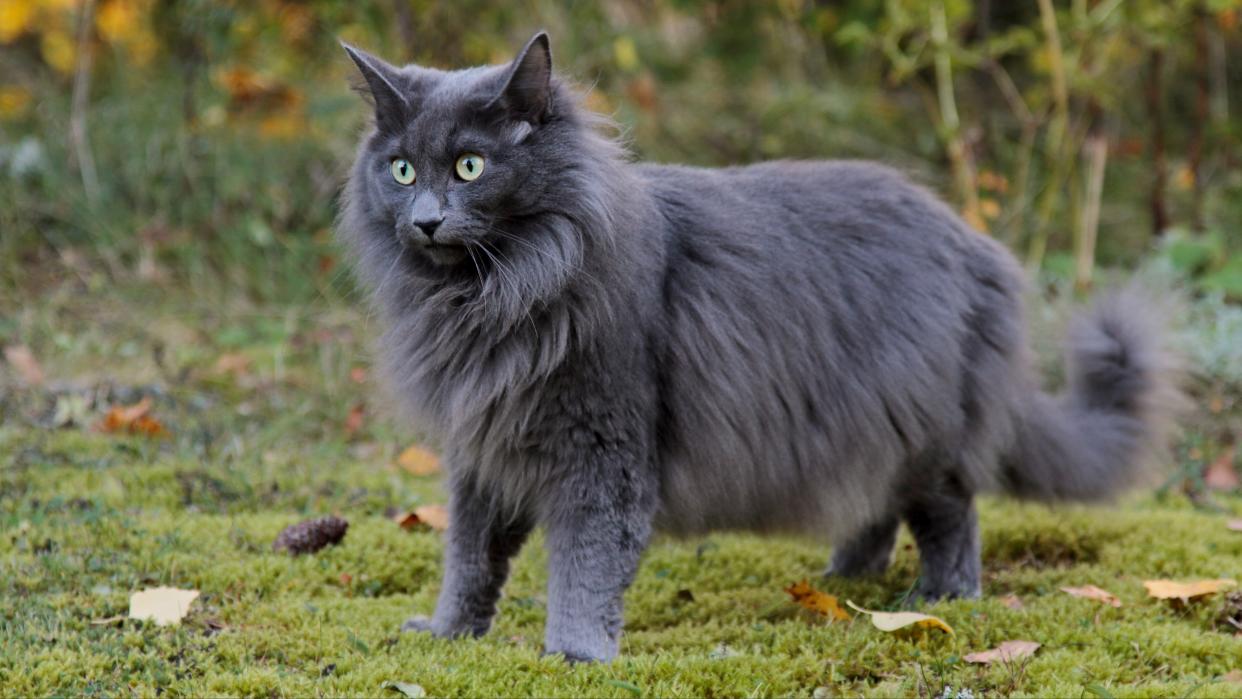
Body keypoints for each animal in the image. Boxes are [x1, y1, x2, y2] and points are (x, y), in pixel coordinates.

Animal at [335, 32, 1177, 665]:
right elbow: (471, 557)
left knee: (950, 513)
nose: (426, 219)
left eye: (470, 166)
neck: (491, 297)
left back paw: (935, 598)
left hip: (922, 423)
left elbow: (586, 561)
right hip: (861, 422)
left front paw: (573, 654)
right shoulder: (483, 449)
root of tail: (975, 246)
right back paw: (842, 579)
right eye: (401, 169)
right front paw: (448, 635)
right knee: (873, 508)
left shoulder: (602, 448)